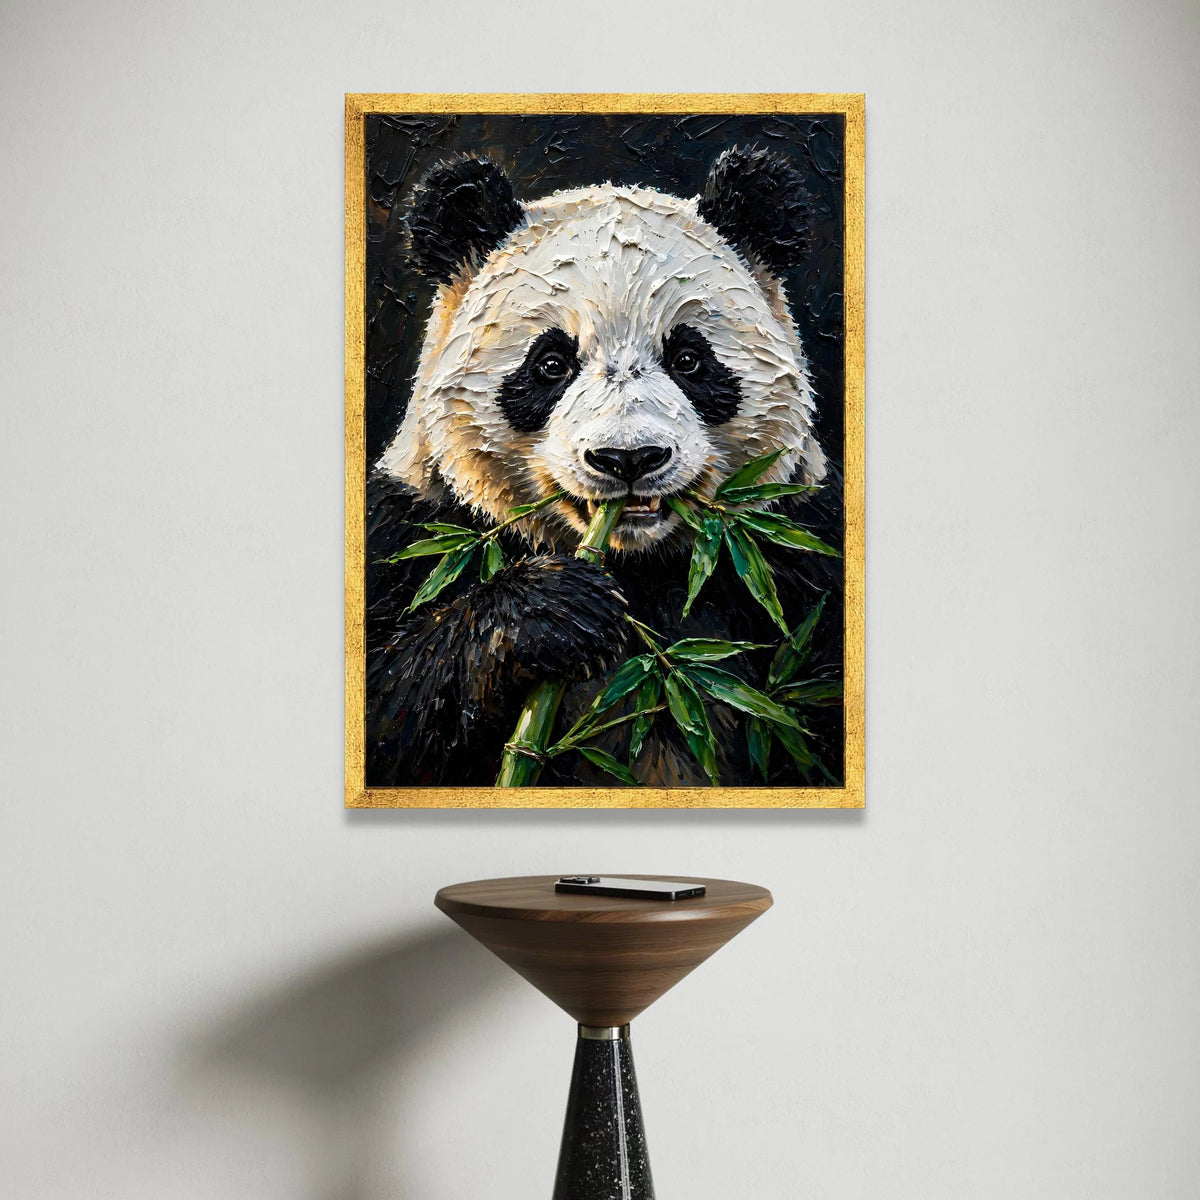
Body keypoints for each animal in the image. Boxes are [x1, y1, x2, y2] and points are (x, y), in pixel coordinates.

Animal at [365, 147, 843, 788]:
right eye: (550, 364)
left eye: (689, 359)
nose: (629, 458)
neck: (637, 568)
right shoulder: (415, 528)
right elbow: (388, 706)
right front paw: (555, 611)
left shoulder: (796, 547)